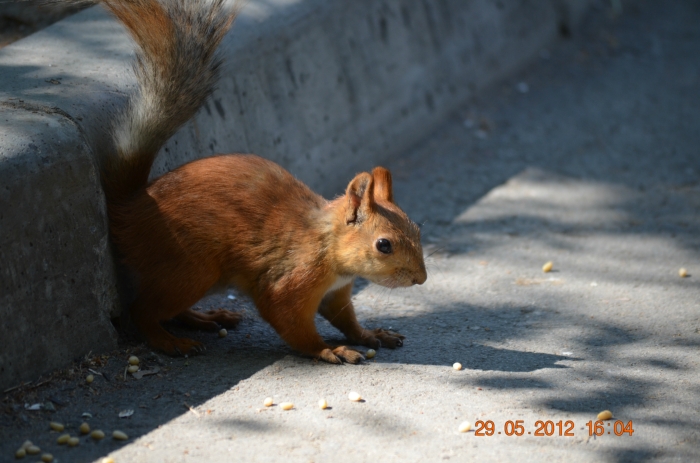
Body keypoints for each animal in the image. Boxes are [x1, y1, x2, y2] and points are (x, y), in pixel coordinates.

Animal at [95, 0, 427, 364]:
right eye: (384, 245)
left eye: (417, 230)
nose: (421, 278)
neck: (326, 246)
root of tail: (129, 206)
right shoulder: (291, 280)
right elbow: (289, 320)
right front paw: (328, 349)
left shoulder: (336, 292)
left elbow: (345, 318)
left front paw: (369, 334)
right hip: (189, 269)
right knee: (143, 311)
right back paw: (171, 341)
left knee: (168, 310)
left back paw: (207, 317)